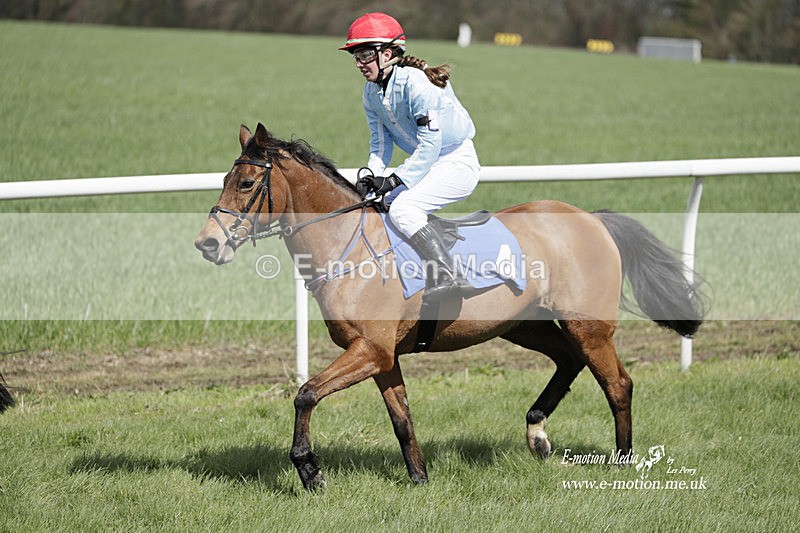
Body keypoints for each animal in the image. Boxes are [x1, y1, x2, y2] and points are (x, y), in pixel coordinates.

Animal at [195, 123, 706, 490]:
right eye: (224, 180)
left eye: (245, 183)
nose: (207, 243)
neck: (349, 247)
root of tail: (592, 219)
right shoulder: (383, 357)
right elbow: (401, 419)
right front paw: (419, 479)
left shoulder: (370, 350)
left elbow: (305, 394)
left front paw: (309, 469)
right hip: (523, 325)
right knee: (568, 360)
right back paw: (537, 434)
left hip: (589, 326)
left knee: (618, 384)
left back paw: (622, 461)